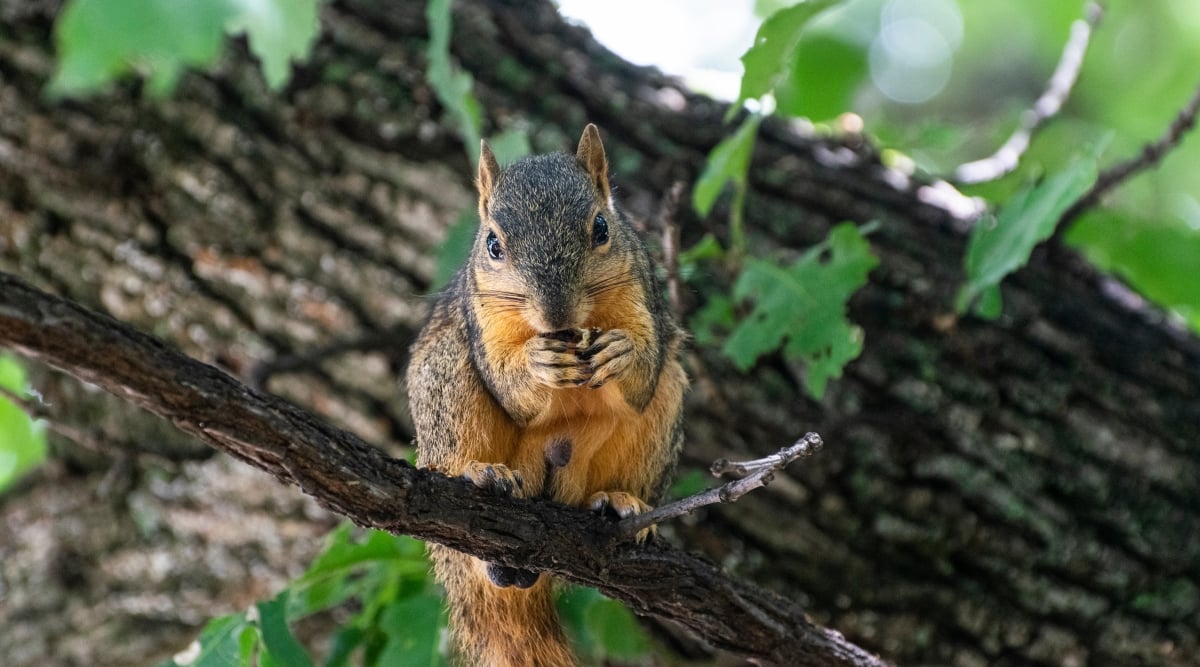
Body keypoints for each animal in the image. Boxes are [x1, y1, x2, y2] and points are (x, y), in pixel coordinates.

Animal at [405, 126, 686, 667]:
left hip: (667, 409)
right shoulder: (483, 320)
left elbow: (642, 376)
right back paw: (479, 473)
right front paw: (536, 364)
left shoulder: (642, 295)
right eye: (493, 244)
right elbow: (510, 389)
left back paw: (619, 502)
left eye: (601, 227)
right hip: (446, 385)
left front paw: (621, 353)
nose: (556, 314)